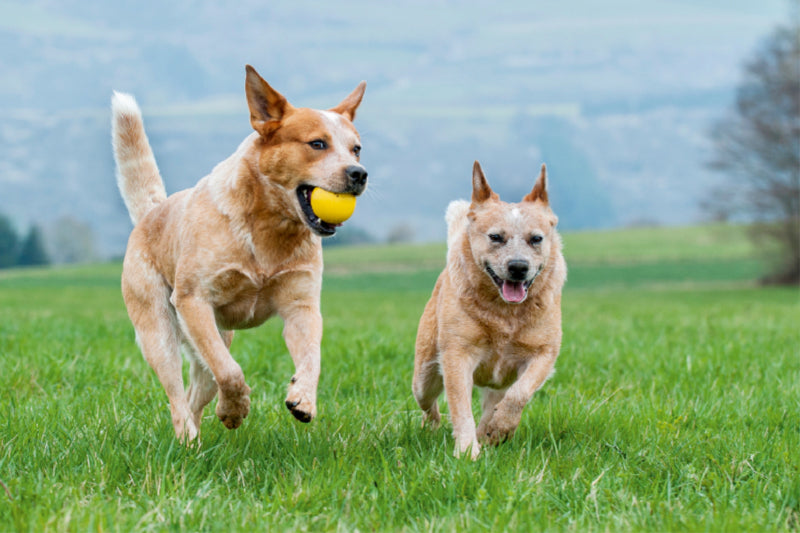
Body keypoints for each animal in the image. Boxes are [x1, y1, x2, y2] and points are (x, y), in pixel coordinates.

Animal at [111, 65, 368, 440]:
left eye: (356, 149)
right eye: (317, 144)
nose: (359, 174)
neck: (270, 228)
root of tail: (152, 212)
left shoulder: (301, 306)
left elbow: (312, 357)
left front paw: (302, 398)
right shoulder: (193, 300)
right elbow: (231, 373)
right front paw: (235, 409)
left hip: (211, 338)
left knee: (198, 391)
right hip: (160, 329)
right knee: (178, 393)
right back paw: (188, 438)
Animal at [412, 161, 568, 458]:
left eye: (536, 238)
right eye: (496, 237)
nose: (518, 267)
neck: (505, 315)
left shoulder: (544, 353)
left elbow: (519, 393)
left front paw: (500, 427)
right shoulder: (457, 354)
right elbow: (461, 407)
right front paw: (466, 452)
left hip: (497, 383)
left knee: (495, 401)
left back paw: (489, 432)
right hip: (425, 373)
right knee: (427, 402)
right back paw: (432, 427)